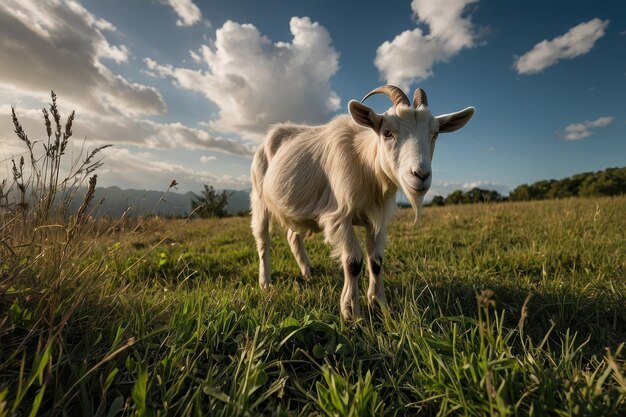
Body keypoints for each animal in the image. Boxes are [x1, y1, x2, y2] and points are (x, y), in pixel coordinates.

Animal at [249, 84, 472, 318]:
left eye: (435, 133)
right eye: (387, 133)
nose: (420, 175)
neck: (365, 162)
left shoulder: (377, 219)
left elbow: (376, 261)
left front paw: (380, 304)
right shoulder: (339, 217)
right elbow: (353, 261)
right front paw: (351, 312)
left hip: (299, 211)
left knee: (293, 236)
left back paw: (308, 273)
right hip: (259, 196)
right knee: (263, 239)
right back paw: (265, 282)